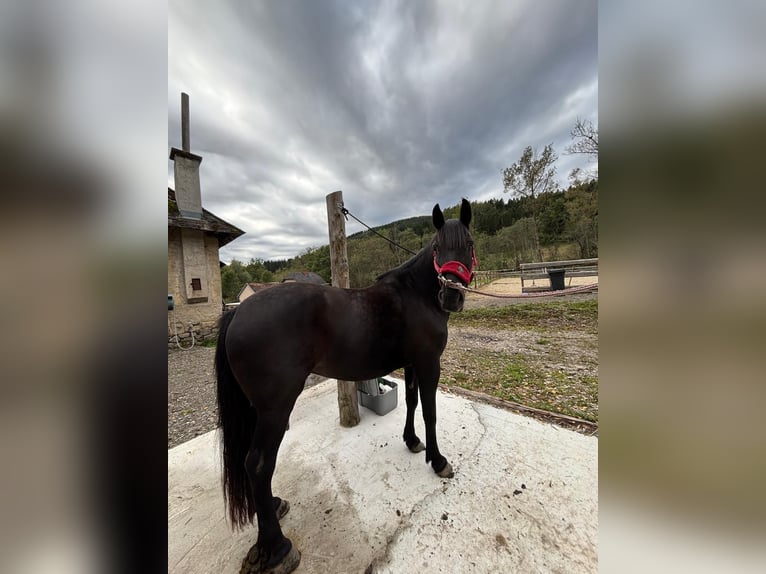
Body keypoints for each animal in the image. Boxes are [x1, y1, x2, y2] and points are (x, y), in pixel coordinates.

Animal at [215, 199, 476, 574]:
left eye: (468, 243)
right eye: (439, 247)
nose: (451, 296)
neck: (416, 295)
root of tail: (237, 313)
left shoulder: (412, 364)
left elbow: (411, 403)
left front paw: (412, 441)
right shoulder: (428, 364)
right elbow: (430, 411)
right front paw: (438, 460)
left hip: (256, 410)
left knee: (248, 463)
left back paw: (272, 509)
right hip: (276, 409)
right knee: (258, 464)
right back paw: (277, 547)